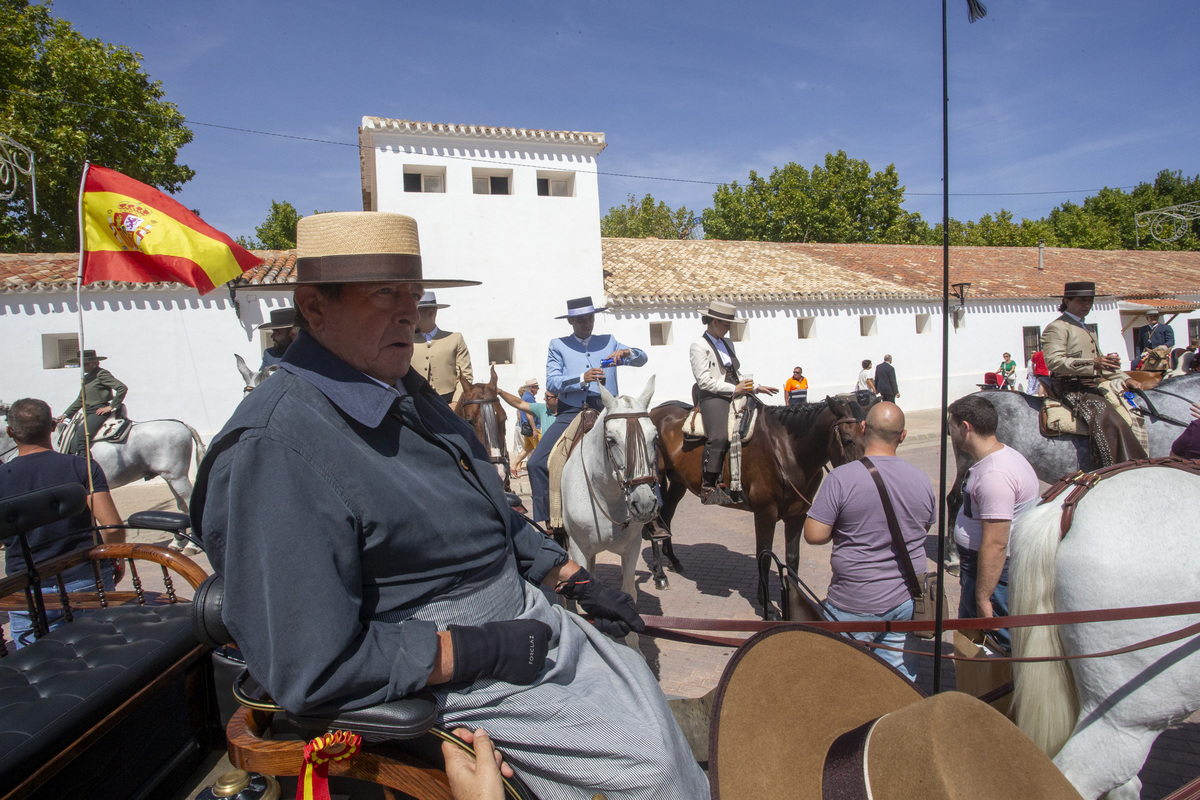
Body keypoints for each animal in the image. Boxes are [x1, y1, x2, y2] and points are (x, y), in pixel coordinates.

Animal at [559, 379, 657, 604]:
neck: (606, 497)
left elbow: (629, 590)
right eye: (611, 440)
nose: (644, 504)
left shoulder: (632, 547)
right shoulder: (578, 549)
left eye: (654, 437)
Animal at [648, 393, 873, 618]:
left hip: (678, 482)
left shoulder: (798, 514)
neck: (787, 450)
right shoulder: (765, 512)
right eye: (847, 440)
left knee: (667, 516)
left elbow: (793, 558)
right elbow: (764, 556)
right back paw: (659, 574)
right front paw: (767, 605)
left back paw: (673, 560)